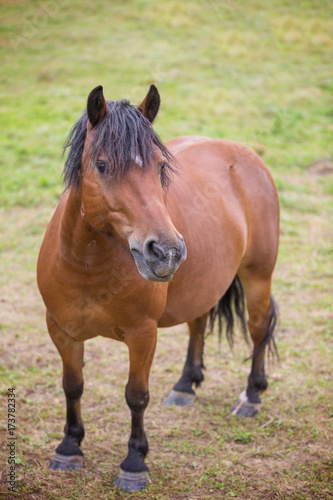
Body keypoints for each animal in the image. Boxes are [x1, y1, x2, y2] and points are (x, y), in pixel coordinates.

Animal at [37, 86, 278, 492]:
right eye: (102, 165)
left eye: (161, 167)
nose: (166, 252)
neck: (87, 266)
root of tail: (245, 154)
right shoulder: (61, 330)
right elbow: (72, 386)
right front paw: (69, 448)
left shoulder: (142, 334)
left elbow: (136, 396)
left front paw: (134, 464)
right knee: (198, 323)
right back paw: (185, 386)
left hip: (258, 276)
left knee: (259, 329)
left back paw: (251, 397)